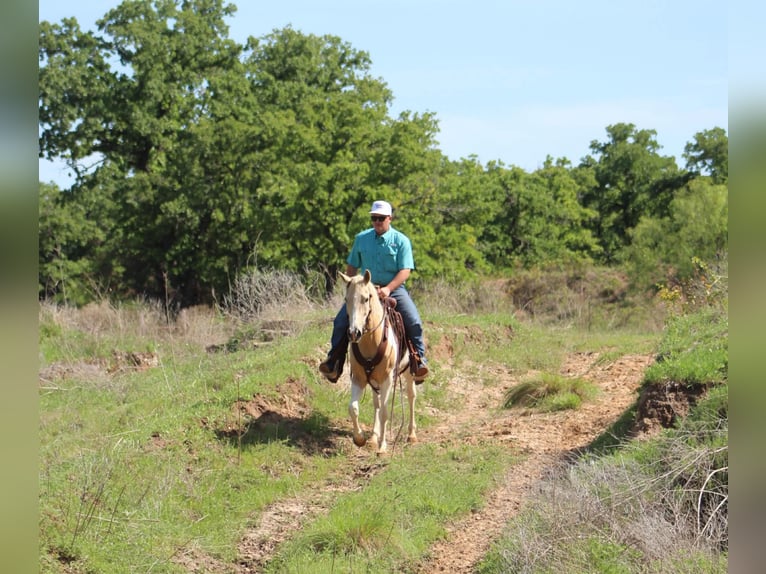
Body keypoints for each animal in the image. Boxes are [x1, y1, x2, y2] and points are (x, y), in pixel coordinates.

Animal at [339, 269, 417, 454]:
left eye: (365, 298)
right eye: (346, 299)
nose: (354, 333)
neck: (372, 341)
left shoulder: (387, 380)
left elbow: (384, 412)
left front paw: (382, 447)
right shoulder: (358, 378)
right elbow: (353, 408)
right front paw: (360, 438)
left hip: (409, 372)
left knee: (411, 396)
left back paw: (411, 435)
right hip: (374, 380)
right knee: (376, 402)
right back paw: (373, 438)